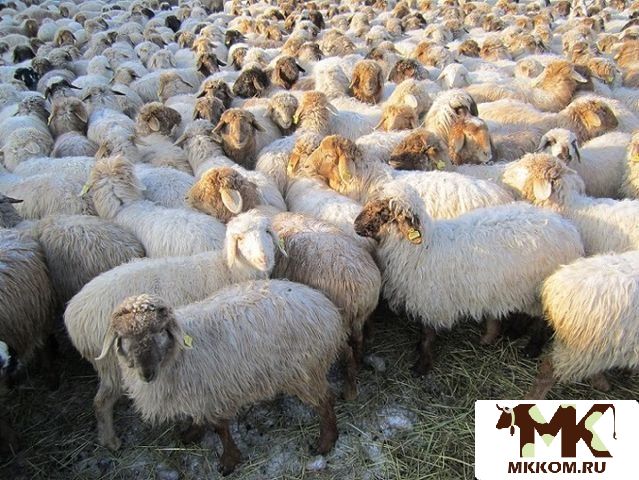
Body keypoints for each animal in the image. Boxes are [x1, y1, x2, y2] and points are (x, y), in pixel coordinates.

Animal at [64, 210, 283, 450]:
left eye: (267, 231)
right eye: (240, 239)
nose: (264, 259)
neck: (228, 270)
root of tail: (73, 314)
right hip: (112, 364)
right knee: (101, 402)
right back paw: (110, 440)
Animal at [100, 283, 343, 473]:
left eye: (159, 331)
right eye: (123, 337)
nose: (146, 373)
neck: (179, 354)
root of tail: (326, 307)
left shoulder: (217, 392)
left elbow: (220, 429)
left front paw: (229, 461)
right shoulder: (200, 394)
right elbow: (197, 417)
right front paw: (191, 433)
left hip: (305, 371)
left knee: (325, 401)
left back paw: (325, 442)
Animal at [353, 180, 584, 374]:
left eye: (383, 211)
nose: (355, 225)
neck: (421, 249)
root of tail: (569, 230)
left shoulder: (431, 300)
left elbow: (427, 335)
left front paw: (422, 366)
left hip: (541, 287)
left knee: (542, 320)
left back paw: (532, 348)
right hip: (524, 287)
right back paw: (514, 331)